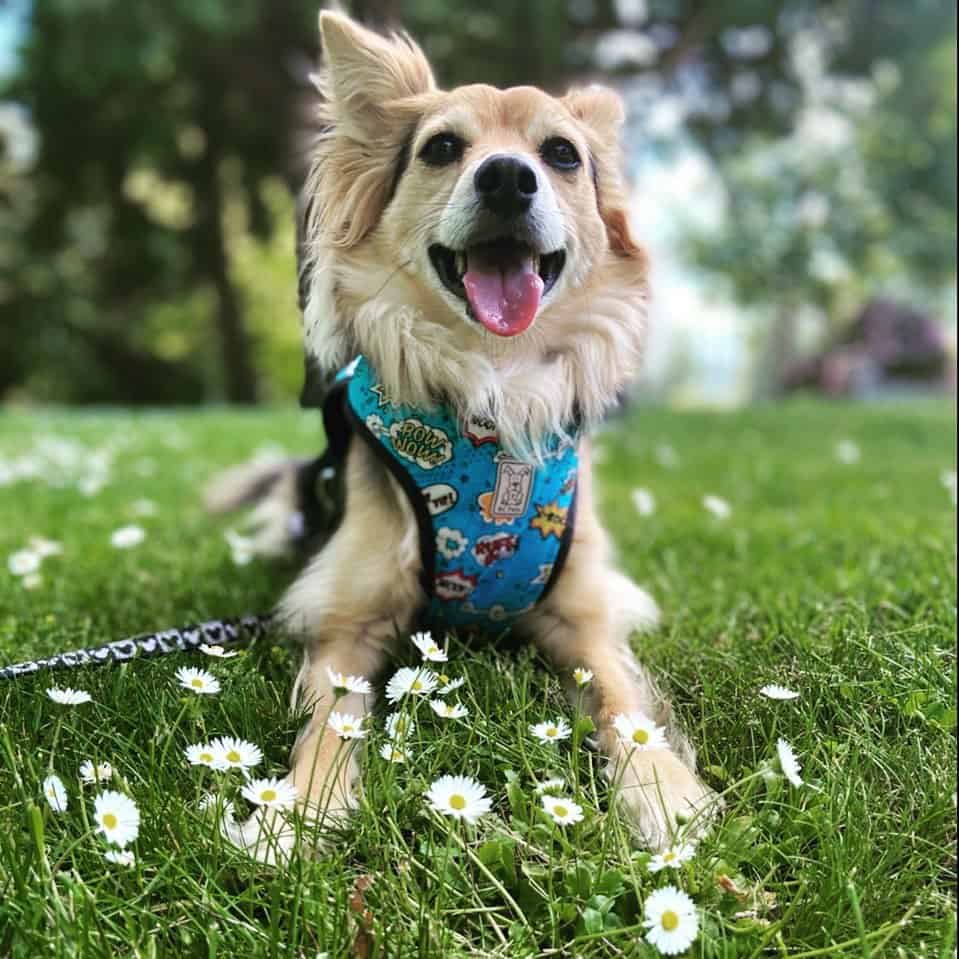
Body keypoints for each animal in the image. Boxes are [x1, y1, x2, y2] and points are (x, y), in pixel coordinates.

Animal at [210, 7, 712, 864]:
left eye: (562, 154)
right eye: (442, 147)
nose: (507, 177)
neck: (491, 385)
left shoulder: (583, 616)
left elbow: (624, 703)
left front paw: (664, 795)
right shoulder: (347, 621)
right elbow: (333, 718)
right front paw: (297, 811)